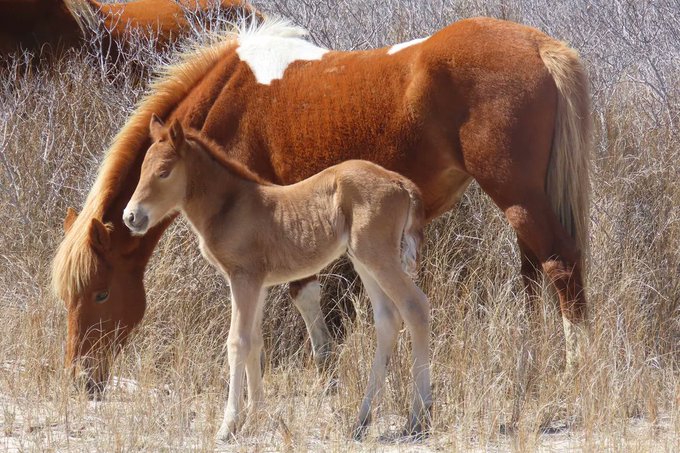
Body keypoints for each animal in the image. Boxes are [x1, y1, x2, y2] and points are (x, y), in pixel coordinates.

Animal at [122, 116, 430, 440]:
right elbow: (255, 342)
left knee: (415, 307)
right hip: (363, 260)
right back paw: (362, 421)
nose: (131, 217)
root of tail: (401, 182)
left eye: (164, 172)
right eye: (142, 170)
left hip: (378, 257)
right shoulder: (259, 284)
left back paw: (418, 419)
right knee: (387, 318)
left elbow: (238, 342)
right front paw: (255, 418)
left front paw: (228, 425)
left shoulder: (243, 278)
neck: (230, 205)